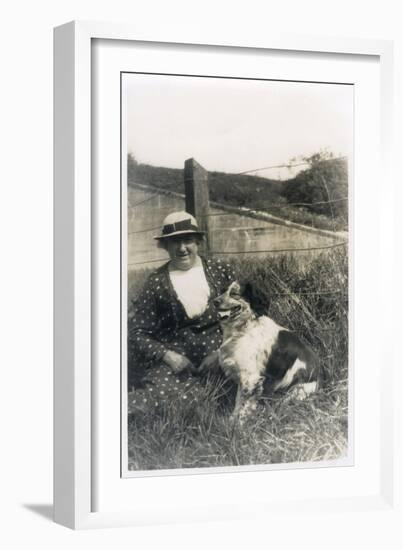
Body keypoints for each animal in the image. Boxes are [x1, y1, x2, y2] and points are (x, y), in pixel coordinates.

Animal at [205, 282, 322, 424]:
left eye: (234, 293)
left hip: (295, 390)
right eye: (223, 291)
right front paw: (232, 421)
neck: (244, 327)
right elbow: (238, 402)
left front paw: (239, 425)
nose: (215, 301)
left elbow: (245, 405)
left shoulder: (251, 377)